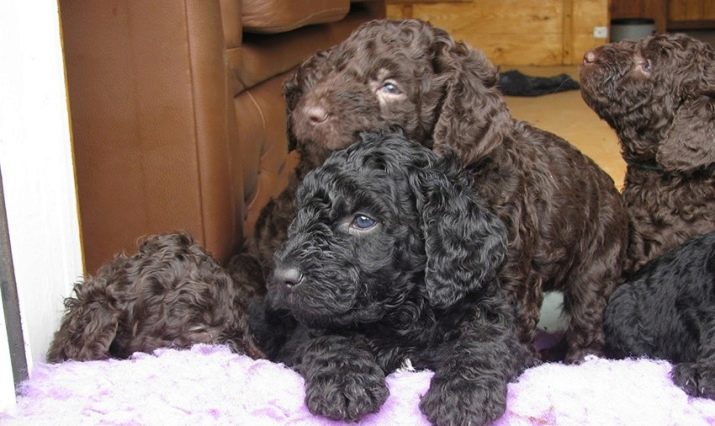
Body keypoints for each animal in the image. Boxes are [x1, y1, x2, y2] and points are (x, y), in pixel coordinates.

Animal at [237, 18, 628, 363]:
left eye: (390, 86)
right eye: (333, 72)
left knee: (587, 324)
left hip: (596, 265)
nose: (310, 113)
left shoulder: (509, 278)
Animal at [256, 131, 535, 425]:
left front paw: (463, 395)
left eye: (363, 220)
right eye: (301, 215)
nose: (282, 276)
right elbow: (329, 335)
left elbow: (485, 337)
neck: (404, 314)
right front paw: (345, 381)